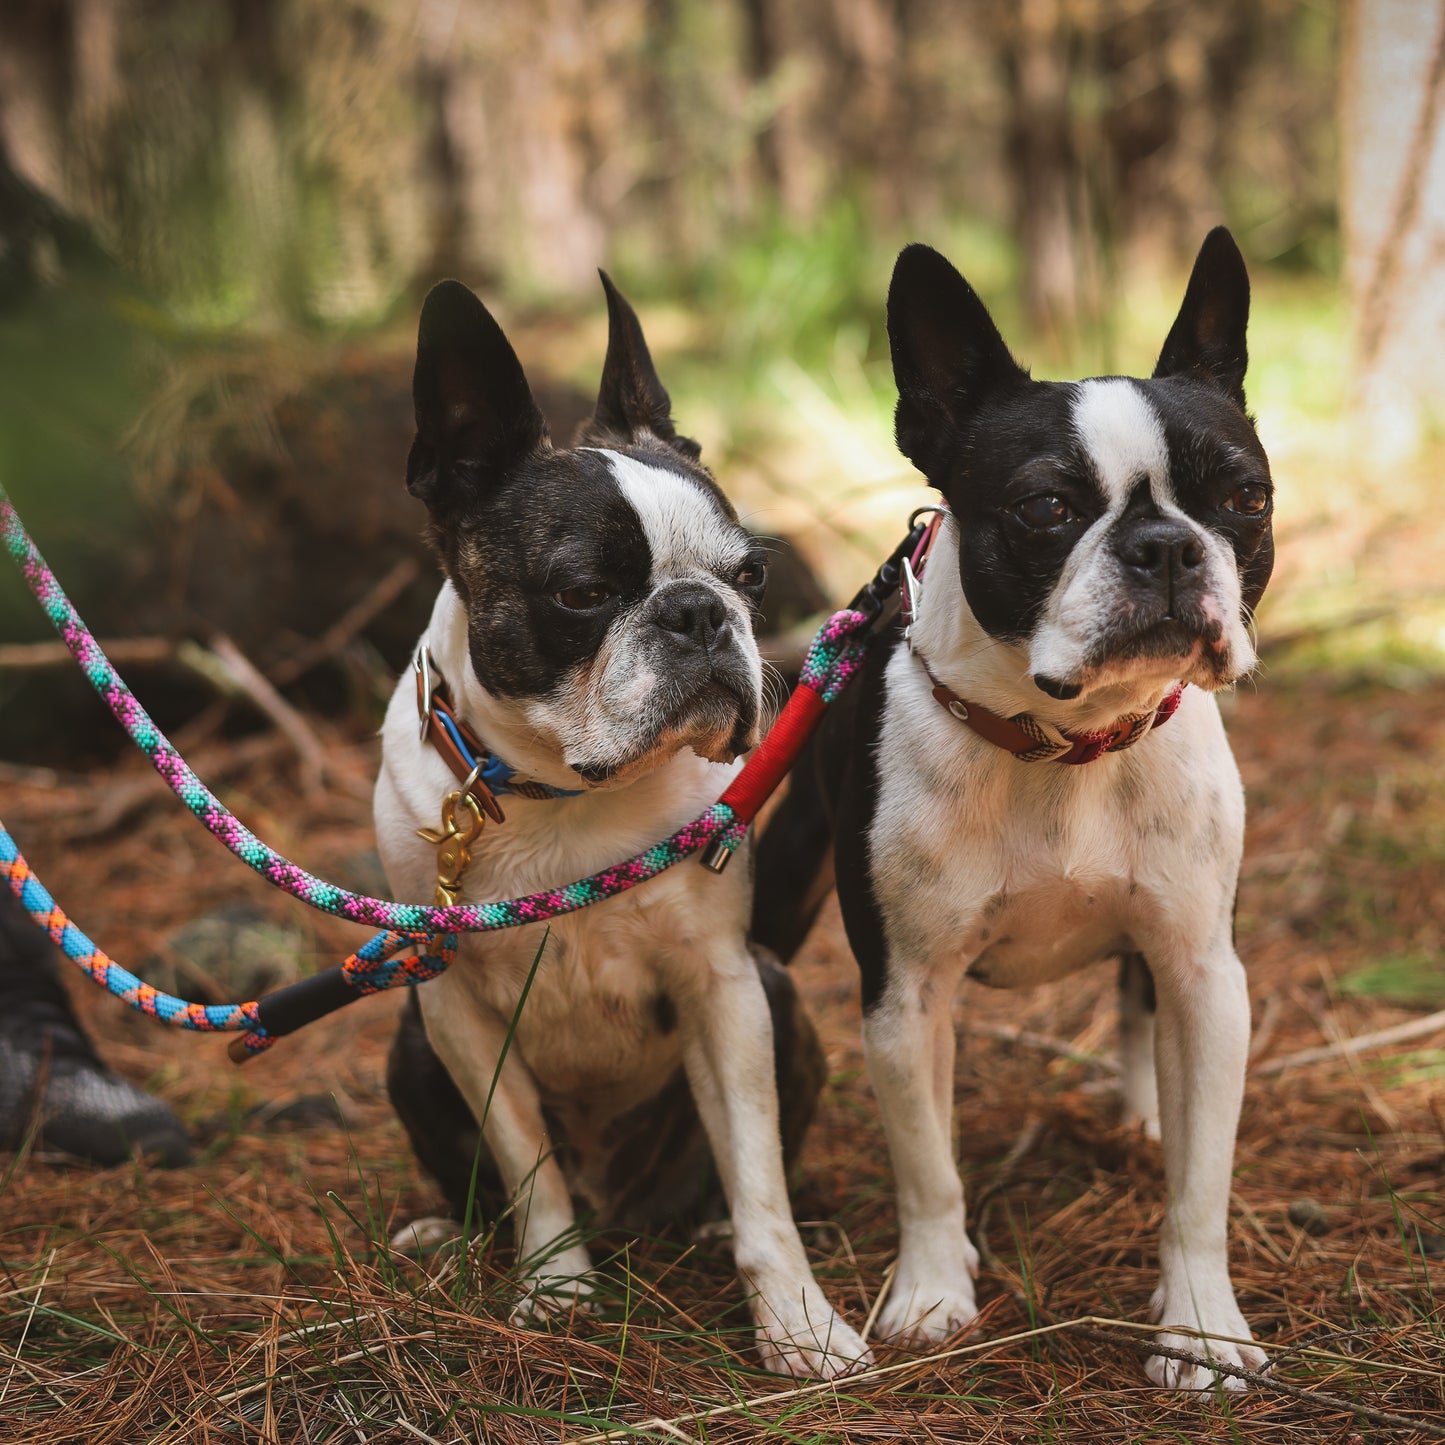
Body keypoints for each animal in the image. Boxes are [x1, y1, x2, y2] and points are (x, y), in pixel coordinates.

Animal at [372, 268, 867, 1375]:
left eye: (751, 574)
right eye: (584, 592)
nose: (698, 612)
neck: (565, 793)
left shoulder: (724, 990)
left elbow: (759, 1172)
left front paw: (799, 1322)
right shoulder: (457, 1015)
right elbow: (525, 1160)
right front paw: (554, 1286)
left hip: (776, 991)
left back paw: (707, 1225)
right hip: (409, 1045)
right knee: (500, 1182)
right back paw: (448, 1232)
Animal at [757, 228, 1277, 1387]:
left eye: (1243, 500)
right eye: (1045, 508)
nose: (1166, 546)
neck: (1064, 743)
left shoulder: (1205, 971)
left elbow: (1202, 1184)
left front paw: (1202, 1326)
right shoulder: (903, 993)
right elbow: (927, 1166)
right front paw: (931, 1292)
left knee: (1136, 1006)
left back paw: (1141, 1114)